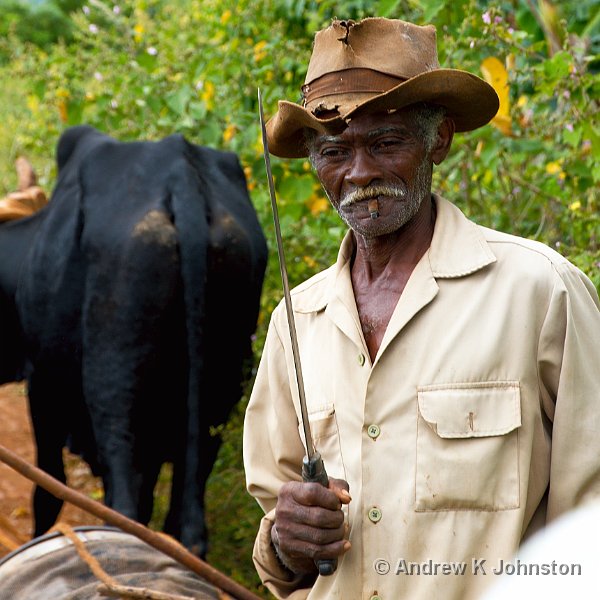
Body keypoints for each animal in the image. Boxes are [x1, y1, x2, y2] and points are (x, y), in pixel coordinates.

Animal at [0, 125, 268, 556]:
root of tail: (181, 178)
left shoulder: (43, 385)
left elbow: (48, 490)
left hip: (116, 387)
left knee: (124, 509)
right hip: (220, 397)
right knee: (185, 523)